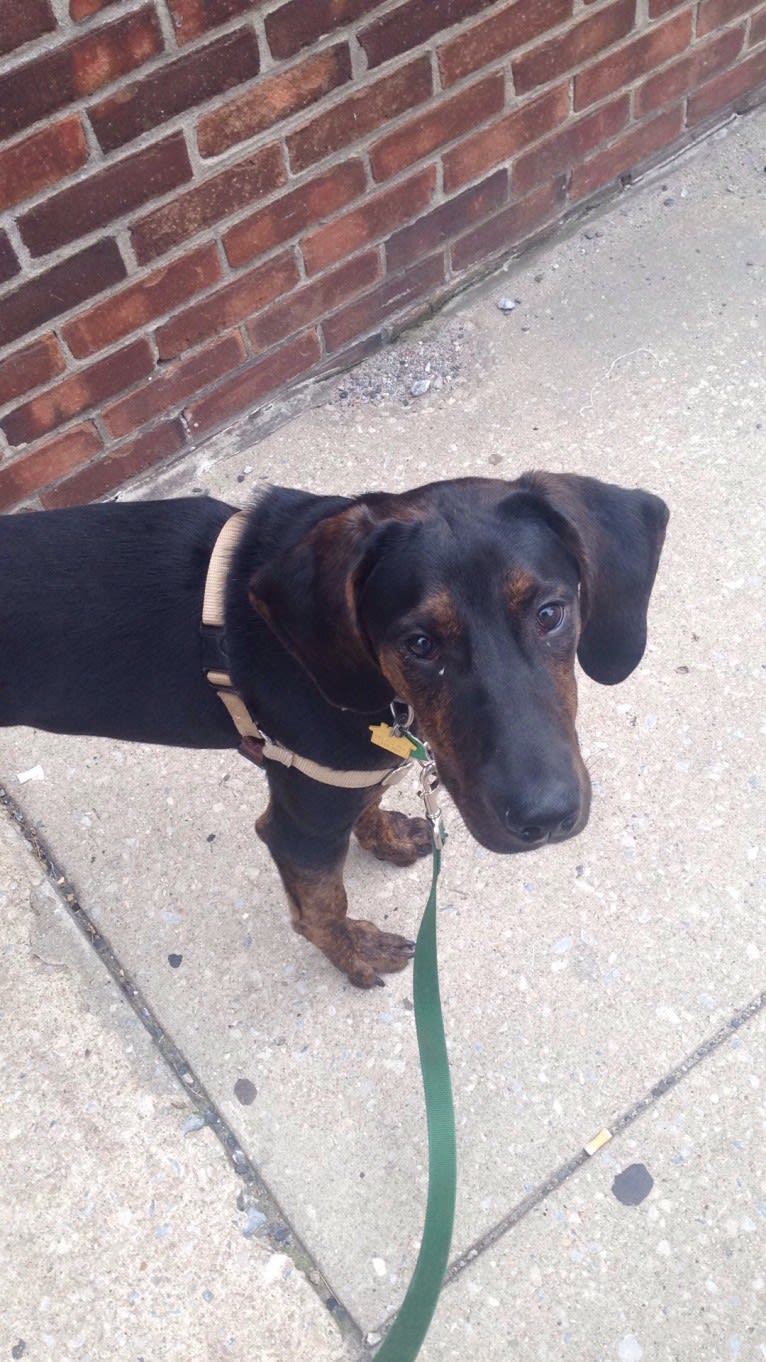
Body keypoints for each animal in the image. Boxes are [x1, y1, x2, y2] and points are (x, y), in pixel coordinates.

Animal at [0, 473, 665, 986]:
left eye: (551, 613)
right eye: (419, 644)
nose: (545, 819)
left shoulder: (353, 768)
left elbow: (369, 801)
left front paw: (387, 836)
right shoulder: (301, 822)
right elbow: (321, 905)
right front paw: (355, 951)